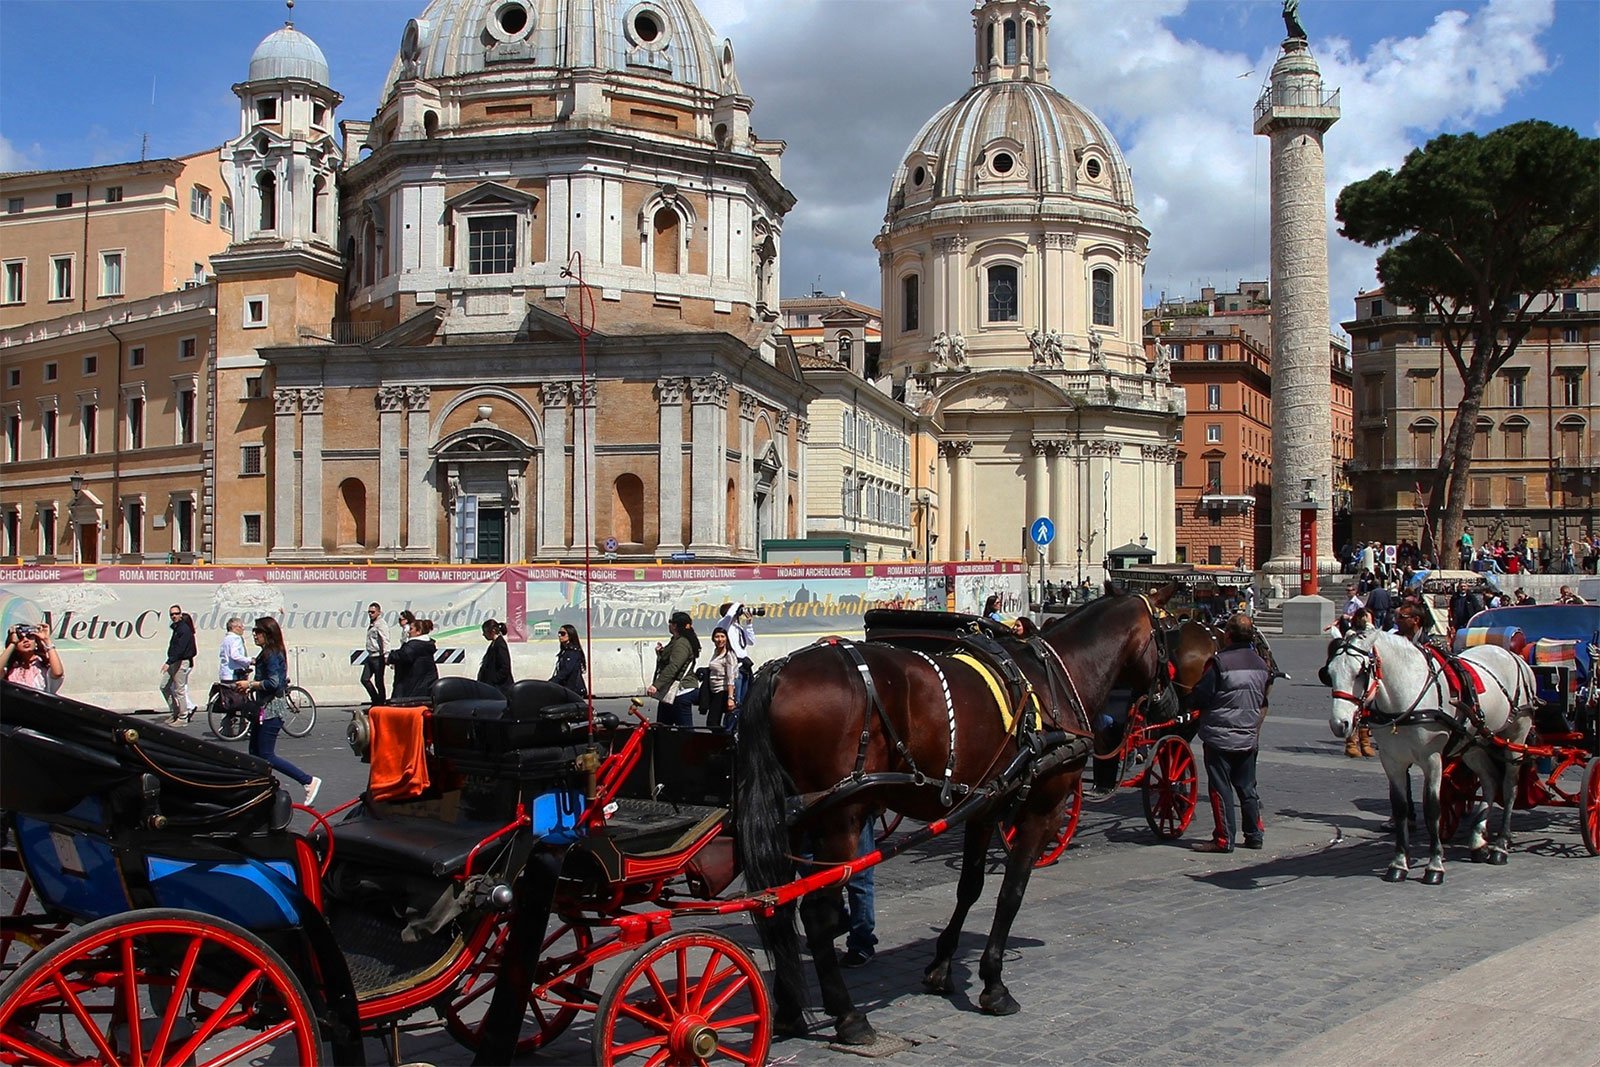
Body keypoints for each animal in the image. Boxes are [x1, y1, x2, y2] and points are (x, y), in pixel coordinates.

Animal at [732, 585, 1177, 1043]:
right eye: (1168, 634)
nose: (1171, 705)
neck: (1057, 679)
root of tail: (779, 670)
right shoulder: (1042, 811)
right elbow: (1011, 893)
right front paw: (994, 984)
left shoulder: (985, 807)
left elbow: (970, 888)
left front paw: (941, 965)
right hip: (840, 818)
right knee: (817, 914)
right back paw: (850, 1017)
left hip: (794, 818)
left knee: (777, 905)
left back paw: (788, 1010)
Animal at [1324, 627, 1536, 883]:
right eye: (1329, 673)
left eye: (1359, 673)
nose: (1339, 724)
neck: (1408, 694)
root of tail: (1512, 655)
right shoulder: (1392, 761)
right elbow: (1400, 808)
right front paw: (1398, 864)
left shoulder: (1432, 759)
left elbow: (1433, 809)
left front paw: (1435, 865)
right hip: (1473, 744)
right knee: (1490, 780)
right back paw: (1477, 840)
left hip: (1516, 736)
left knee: (1509, 787)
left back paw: (1501, 846)